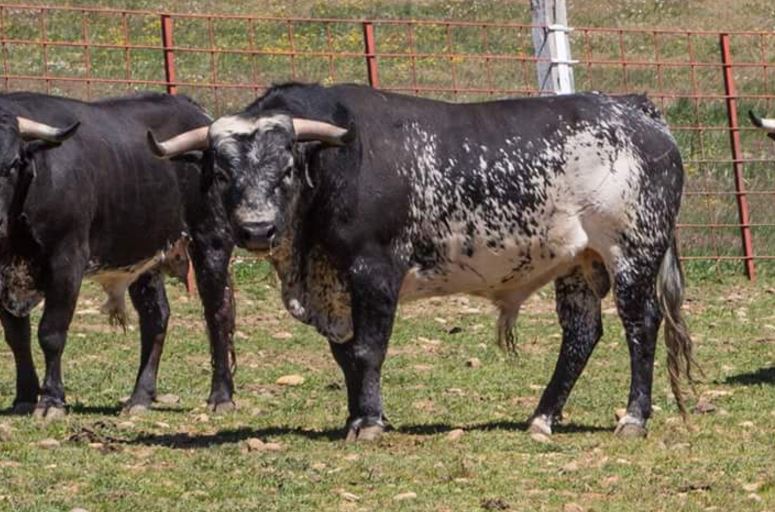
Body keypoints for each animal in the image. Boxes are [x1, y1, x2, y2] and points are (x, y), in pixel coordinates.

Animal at [0, 93, 236, 420]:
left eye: (11, 164)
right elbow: (16, 336)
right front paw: (24, 397)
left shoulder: (66, 261)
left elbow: (51, 333)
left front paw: (51, 401)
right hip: (145, 253)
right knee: (155, 318)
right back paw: (140, 397)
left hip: (211, 238)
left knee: (217, 312)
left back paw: (221, 396)